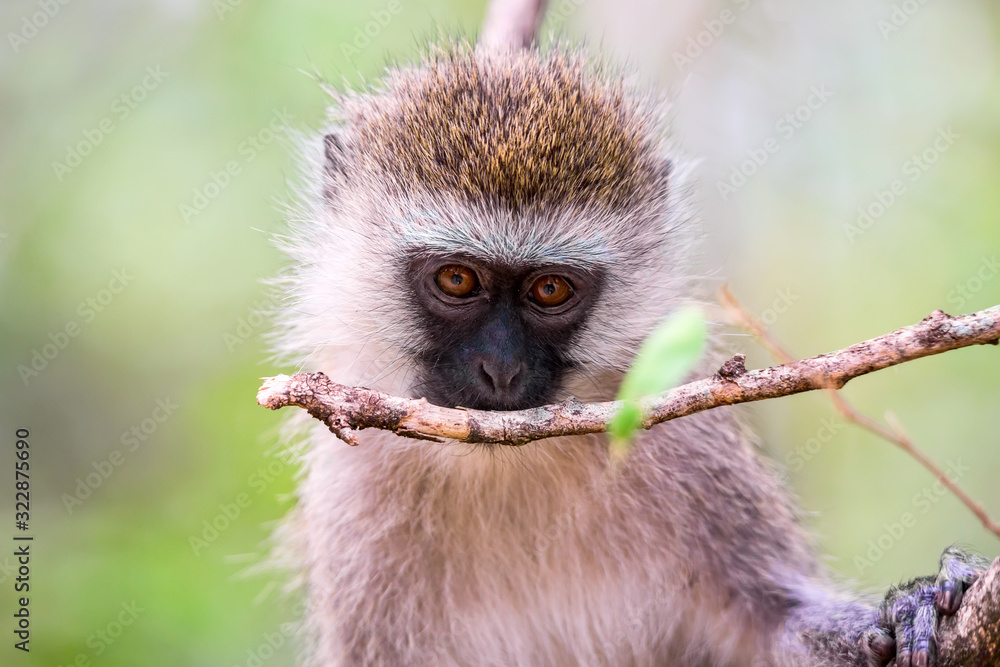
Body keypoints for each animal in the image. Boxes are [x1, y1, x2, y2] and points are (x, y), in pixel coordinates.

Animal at [269, 33, 990, 667]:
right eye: (457, 280)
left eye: (550, 289)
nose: (499, 368)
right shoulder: (352, 501)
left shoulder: (691, 451)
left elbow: (769, 622)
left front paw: (913, 603)